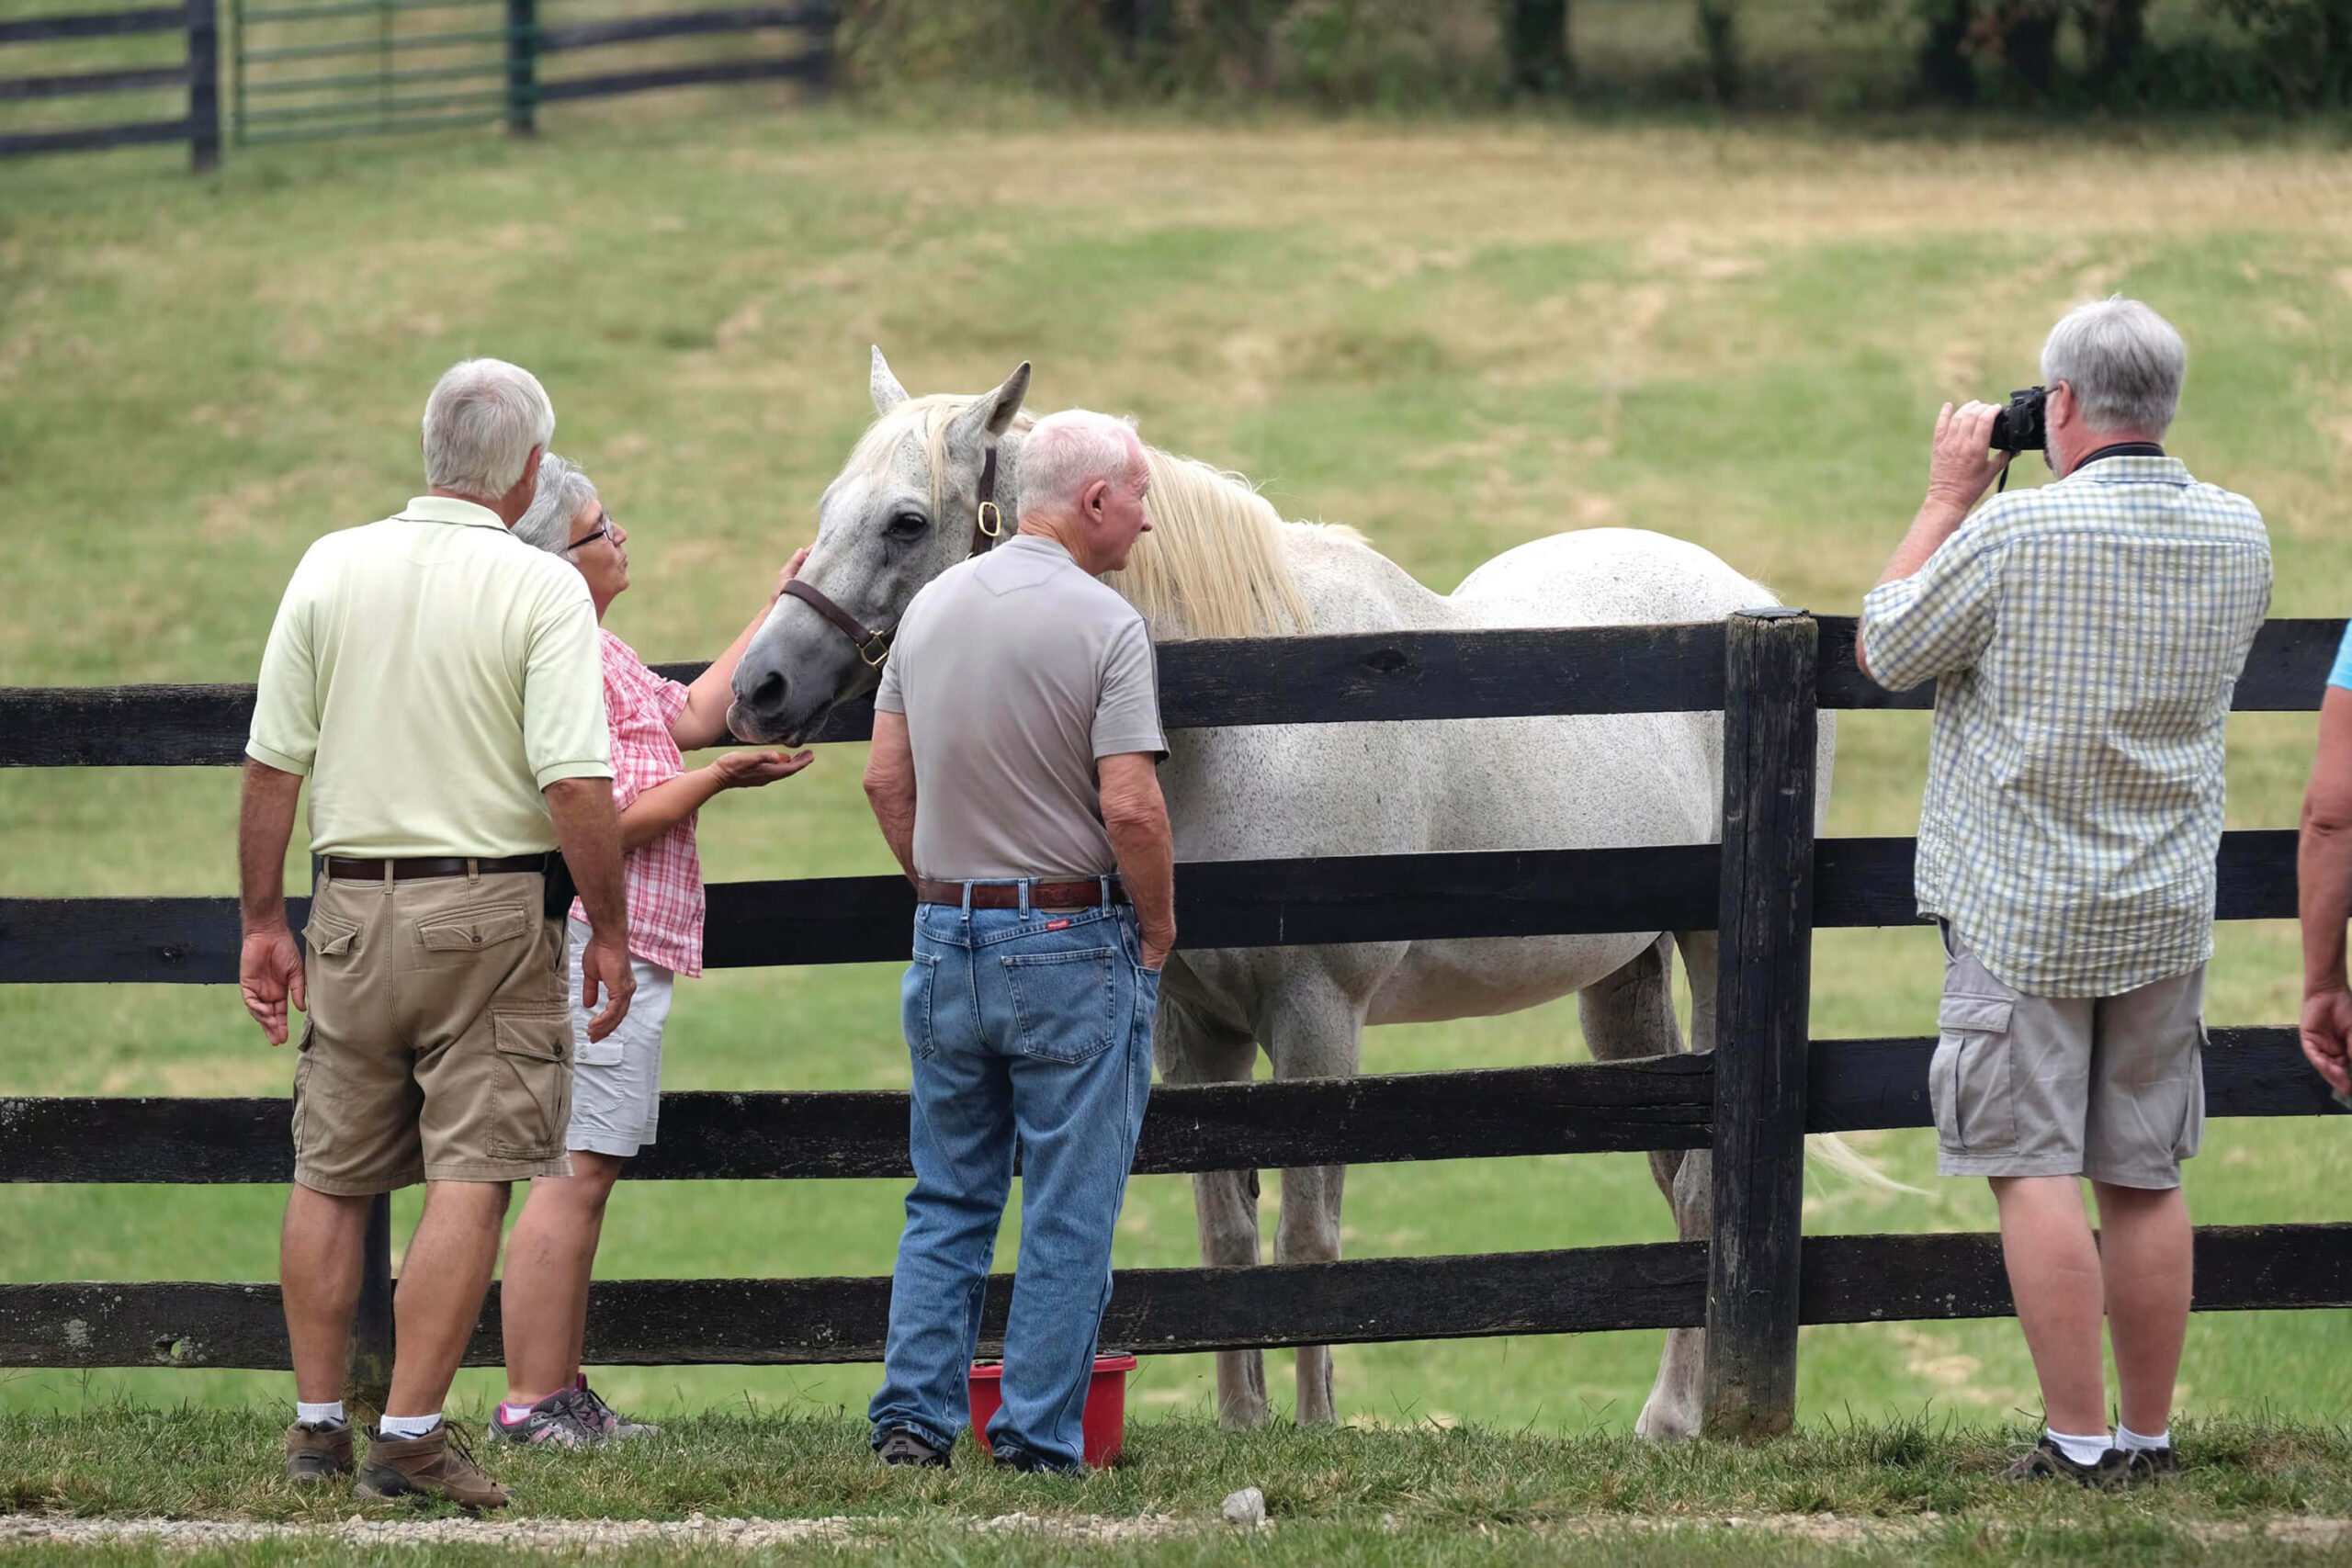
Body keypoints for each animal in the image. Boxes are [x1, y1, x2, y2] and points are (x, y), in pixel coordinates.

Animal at [724, 350, 1844, 1438]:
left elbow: (1309, 1238)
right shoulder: (1194, 1031)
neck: (1253, 721)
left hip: (1706, 953)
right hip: (1622, 979)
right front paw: (1243, 1423)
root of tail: (1750, 599)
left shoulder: (1315, 1022)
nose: (758, 686)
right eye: (828, 508)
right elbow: (1226, 1235)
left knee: (1698, 1187)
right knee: (1676, 1179)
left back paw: (1681, 1416)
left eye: (907, 522)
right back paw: (1670, 1417)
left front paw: (1313, 1429)